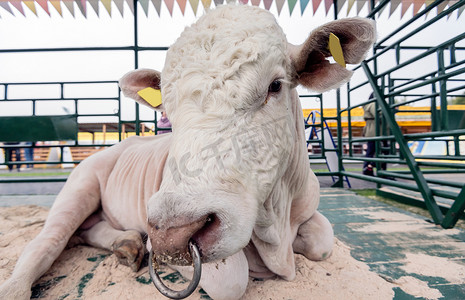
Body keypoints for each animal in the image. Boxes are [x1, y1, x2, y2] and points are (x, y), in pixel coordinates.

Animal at [0, 4, 374, 300]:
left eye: (275, 86)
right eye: (166, 105)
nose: (170, 234)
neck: (277, 223)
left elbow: (323, 243)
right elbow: (232, 281)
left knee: (86, 232)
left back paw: (127, 245)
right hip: (80, 186)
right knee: (47, 241)